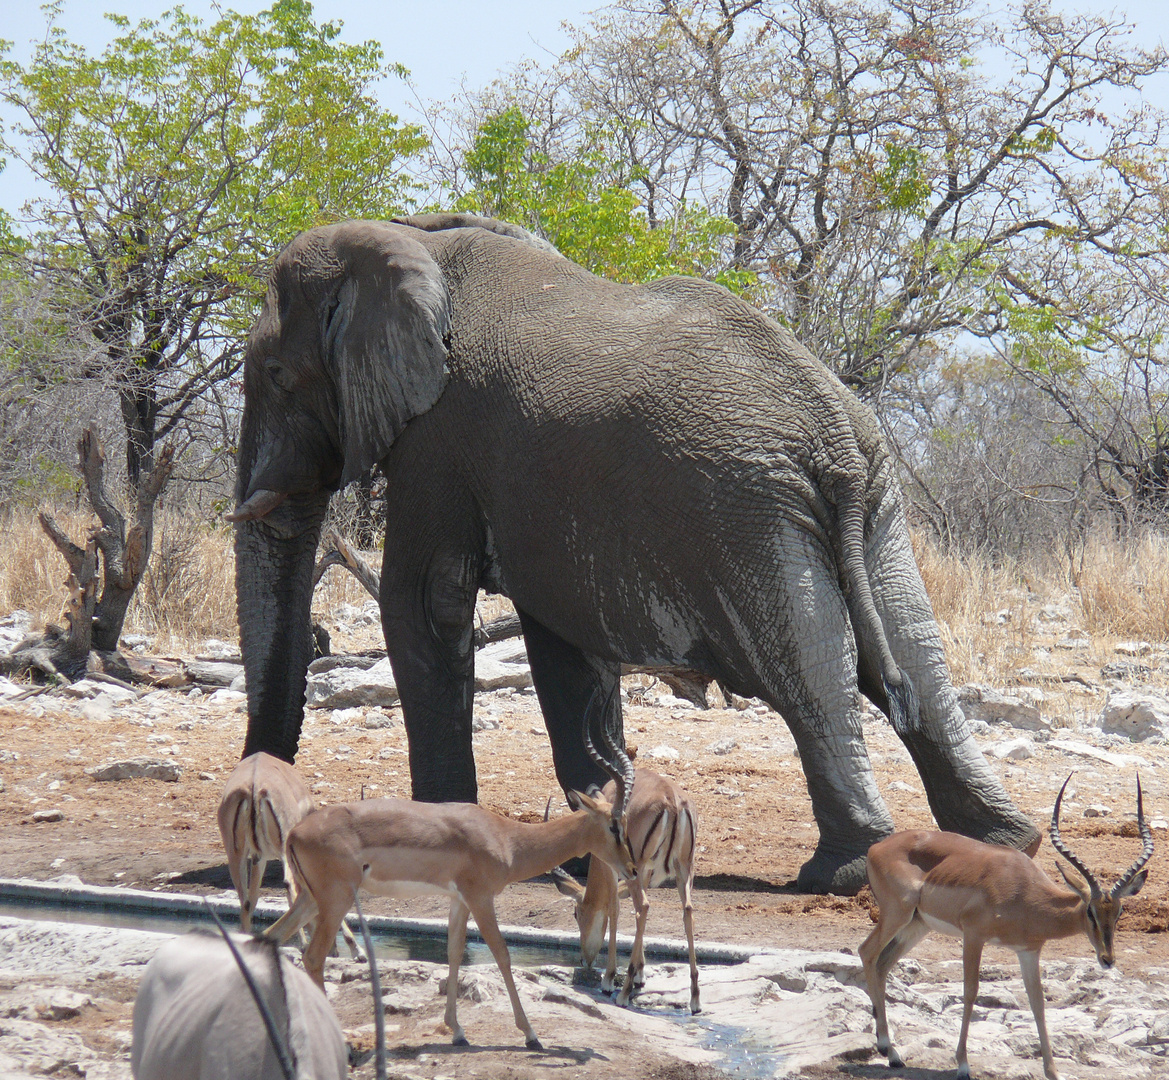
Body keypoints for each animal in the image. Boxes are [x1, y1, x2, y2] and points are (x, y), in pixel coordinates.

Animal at [232, 210, 1038, 892]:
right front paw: (593, 850)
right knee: (917, 660)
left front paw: (445, 842)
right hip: (874, 508)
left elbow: (426, 606)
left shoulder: (439, 437)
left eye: (276, 376)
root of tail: (834, 435)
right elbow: (560, 646)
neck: (410, 236)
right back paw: (999, 844)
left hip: (749, 517)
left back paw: (838, 874)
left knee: (811, 679)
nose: (269, 848)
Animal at [266, 719, 640, 1051]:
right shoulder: (481, 898)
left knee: (272, 937)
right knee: (313, 957)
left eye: (623, 822)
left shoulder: (459, 900)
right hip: (336, 901)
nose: (633, 869)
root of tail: (295, 833)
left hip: (310, 901)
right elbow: (502, 955)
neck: (507, 838)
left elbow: (455, 953)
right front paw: (531, 1035)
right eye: (614, 825)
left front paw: (457, 1031)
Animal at [551, 766, 696, 1014]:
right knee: (685, 910)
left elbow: (614, 909)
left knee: (643, 906)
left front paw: (609, 979)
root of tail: (673, 803)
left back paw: (623, 993)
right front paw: (640, 972)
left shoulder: (612, 867)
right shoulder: (644, 872)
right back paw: (695, 999)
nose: (584, 960)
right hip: (683, 869)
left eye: (576, 913)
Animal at [865, 776, 1154, 1080]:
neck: (1024, 892)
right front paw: (963, 1065)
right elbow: (970, 991)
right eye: (1090, 911)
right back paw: (886, 1049)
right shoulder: (973, 936)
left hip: (917, 925)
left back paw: (893, 1054)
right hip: (898, 913)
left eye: (1119, 912)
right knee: (867, 953)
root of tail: (876, 848)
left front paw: (1053, 1072)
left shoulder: (1028, 951)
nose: (1108, 959)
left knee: (882, 965)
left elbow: (1038, 1002)